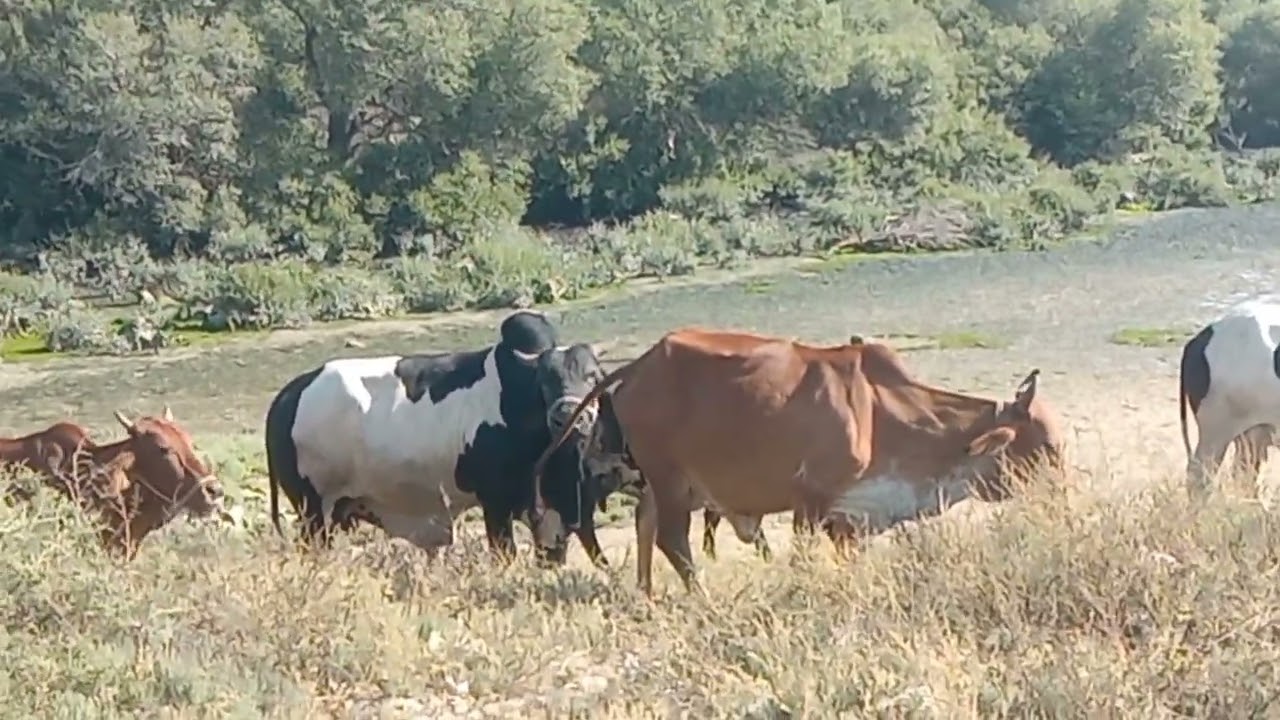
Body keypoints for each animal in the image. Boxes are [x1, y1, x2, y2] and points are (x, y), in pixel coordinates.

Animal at [264, 310, 611, 564]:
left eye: (592, 376)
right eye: (546, 381)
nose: (569, 415)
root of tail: (290, 394)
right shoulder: (495, 502)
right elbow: (504, 554)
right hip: (313, 510)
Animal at [533, 328, 1065, 594]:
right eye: (1046, 448)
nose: (1063, 501)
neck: (882, 413)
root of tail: (639, 364)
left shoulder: (849, 517)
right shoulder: (810, 499)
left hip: (662, 485)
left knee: (646, 527)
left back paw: (646, 595)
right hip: (670, 479)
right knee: (671, 540)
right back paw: (699, 597)